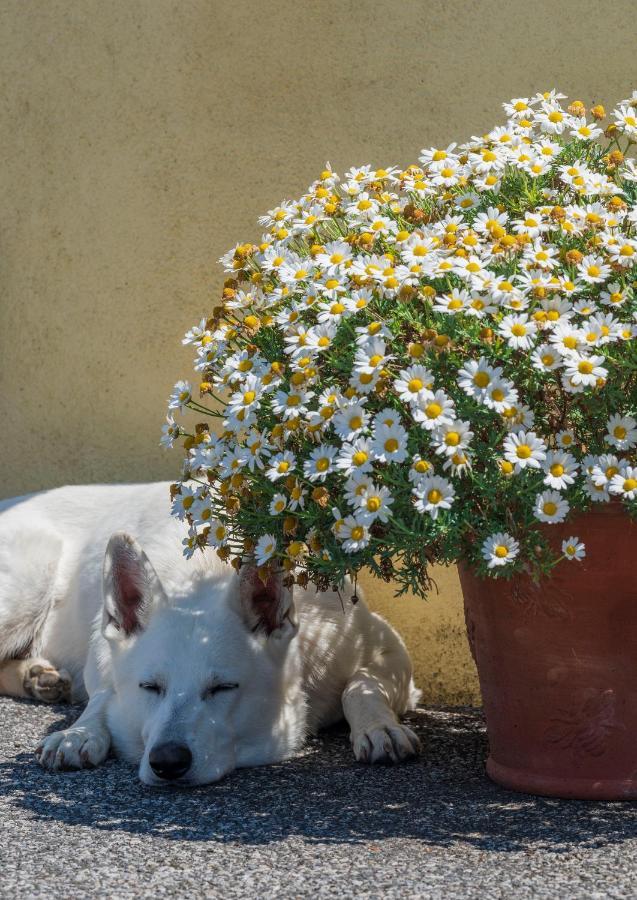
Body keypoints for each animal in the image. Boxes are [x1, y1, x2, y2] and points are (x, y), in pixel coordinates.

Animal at [1, 482, 422, 784]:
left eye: (223, 688)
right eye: (150, 688)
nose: (167, 761)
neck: (203, 573)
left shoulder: (387, 649)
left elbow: (360, 686)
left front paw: (378, 727)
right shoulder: (103, 657)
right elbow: (102, 696)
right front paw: (80, 732)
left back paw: (36, 676)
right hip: (28, 586)